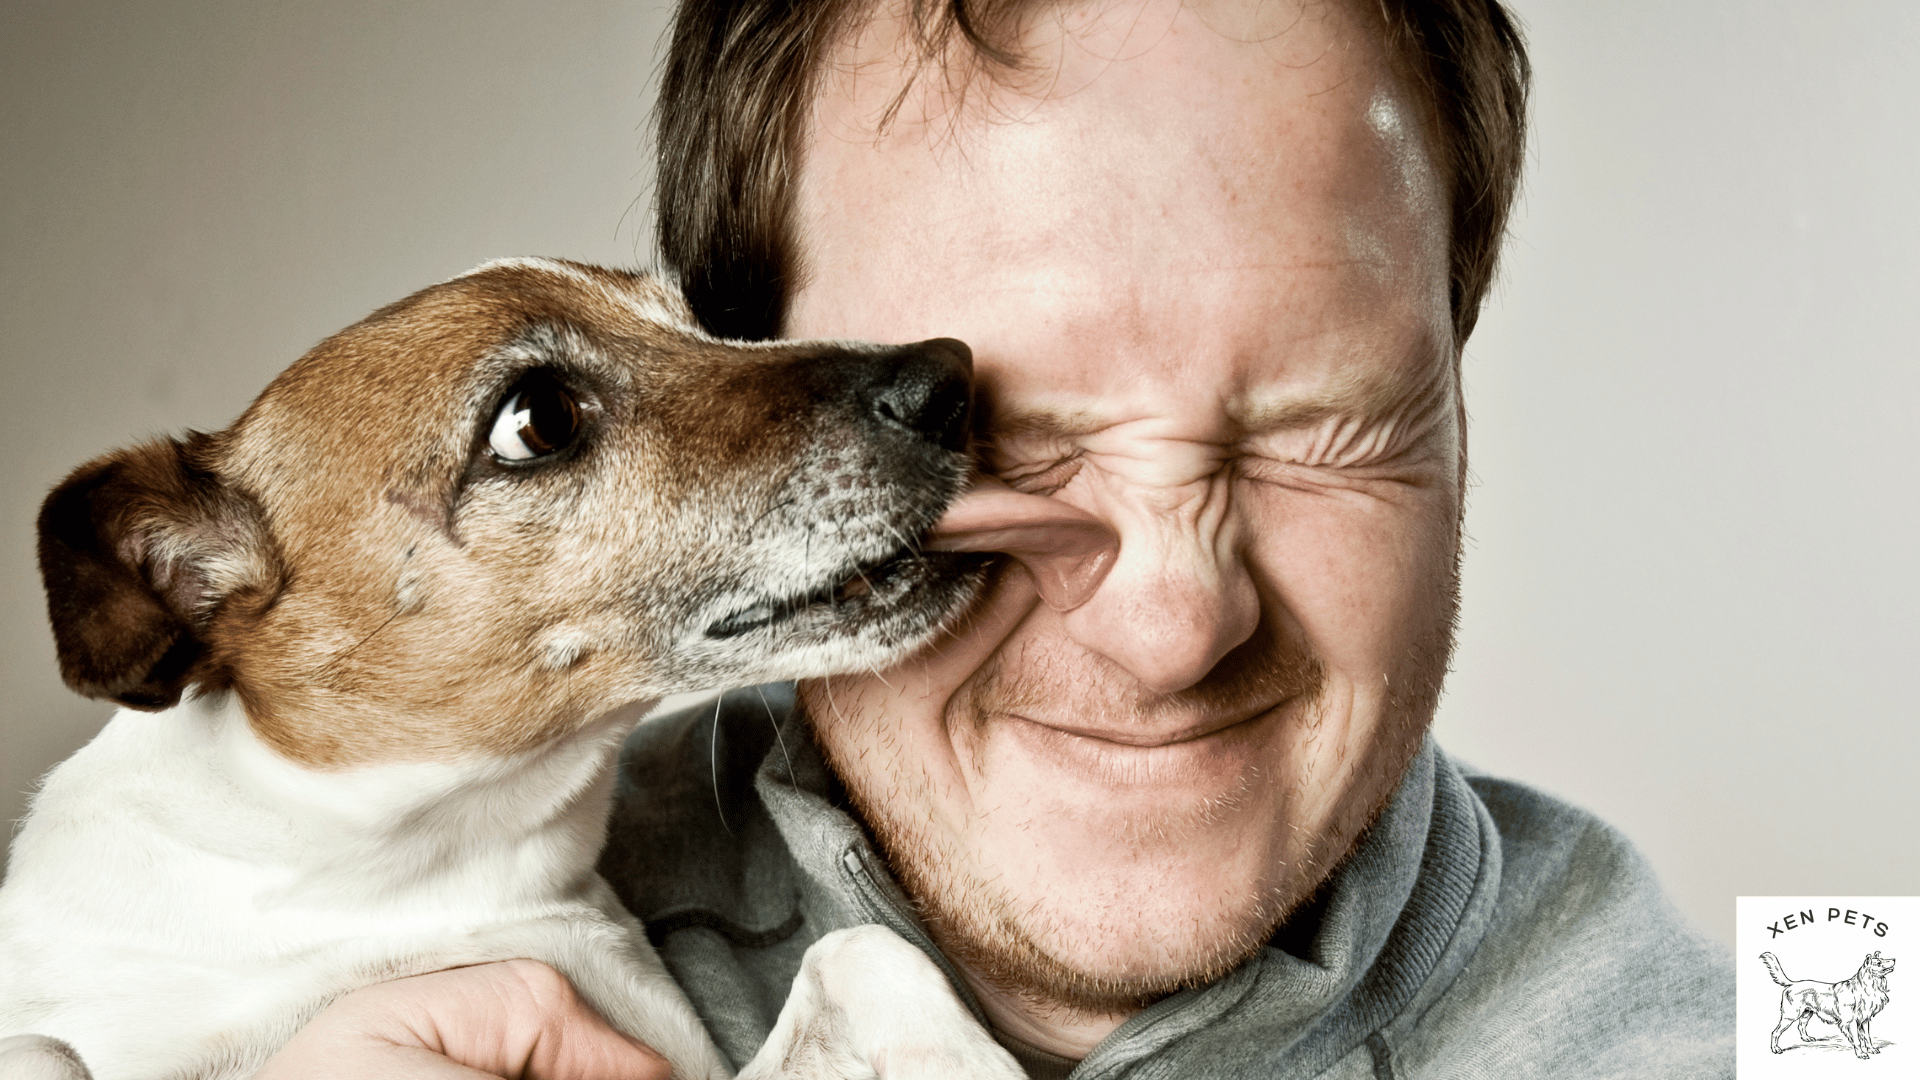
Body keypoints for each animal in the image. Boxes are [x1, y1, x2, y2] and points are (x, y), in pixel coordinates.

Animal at [1758, 945, 1896, 1053]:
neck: (1866, 987)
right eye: (1879, 963)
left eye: (1882, 959)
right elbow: (1857, 1040)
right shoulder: (1849, 1022)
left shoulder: (1864, 1020)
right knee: (1775, 1032)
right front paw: (1861, 1053)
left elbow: (1867, 1037)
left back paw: (1806, 1038)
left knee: (1801, 1026)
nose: (1894, 959)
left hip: (1807, 1013)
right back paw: (1775, 1049)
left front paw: (1871, 1049)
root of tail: (1793, 984)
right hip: (1790, 1016)